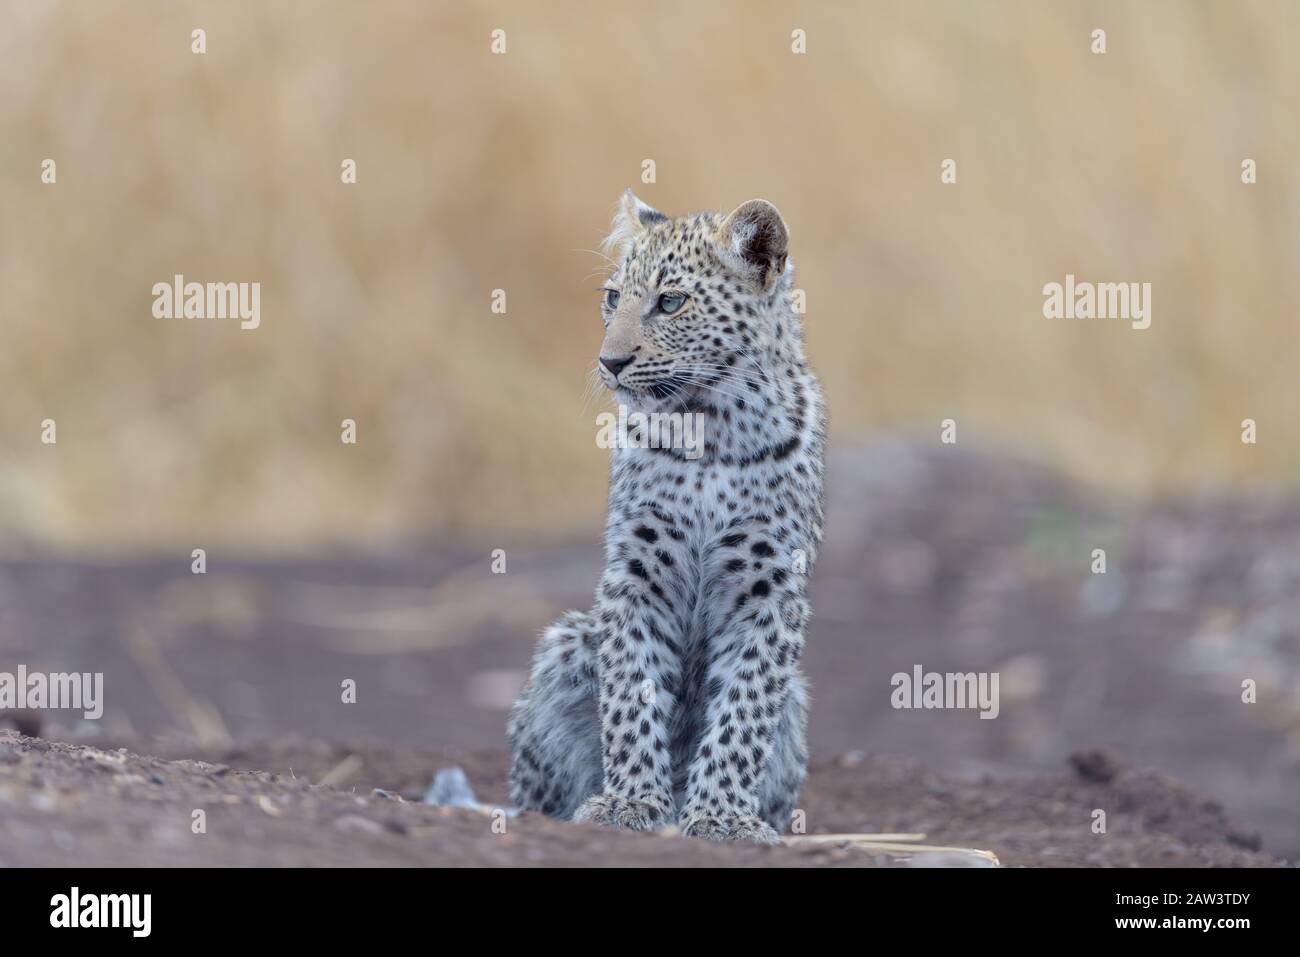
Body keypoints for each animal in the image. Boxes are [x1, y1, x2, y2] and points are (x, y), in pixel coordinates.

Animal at [506, 189, 825, 845]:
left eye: (671, 302)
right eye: (611, 298)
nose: (610, 362)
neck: (710, 428)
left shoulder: (770, 586)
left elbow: (744, 708)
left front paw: (722, 815)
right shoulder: (638, 573)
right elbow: (632, 691)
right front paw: (630, 803)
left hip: (798, 705)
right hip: (567, 646)